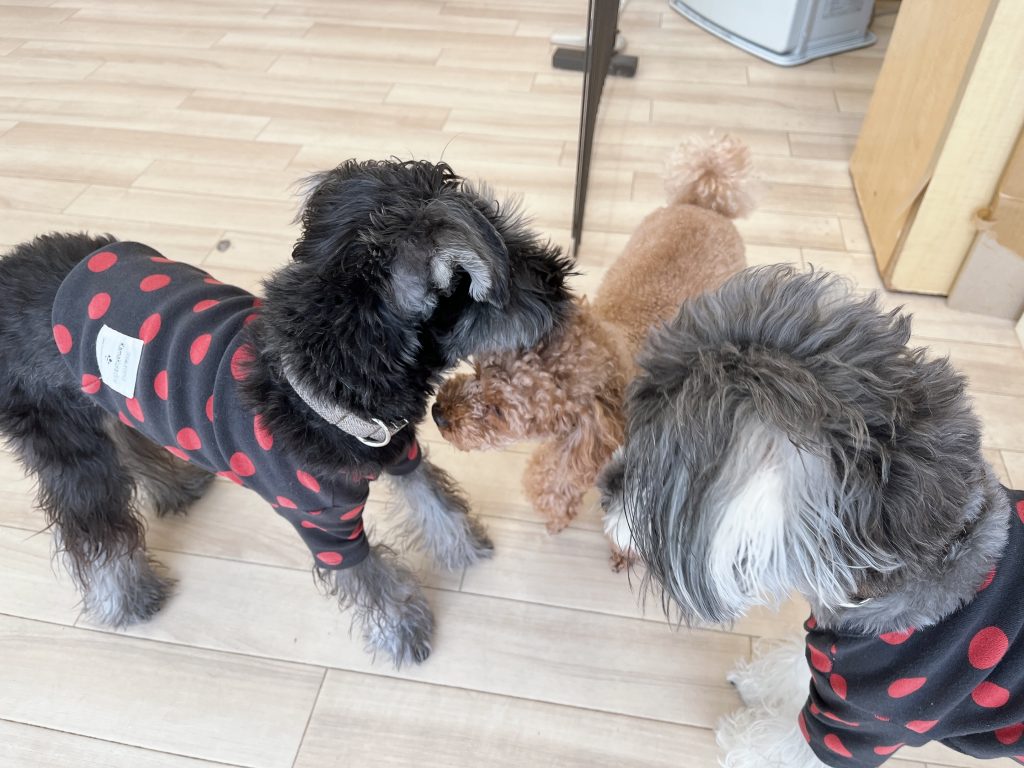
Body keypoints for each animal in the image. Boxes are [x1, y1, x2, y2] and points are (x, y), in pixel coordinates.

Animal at [0, 159, 574, 667]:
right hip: (68, 444)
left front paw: (465, 547)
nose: (562, 275)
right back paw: (128, 599)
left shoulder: (399, 451)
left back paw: (178, 488)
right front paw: (404, 630)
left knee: (129, 439)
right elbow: (370, 578)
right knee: (96, 530)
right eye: (513, 268)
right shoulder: (326, 525)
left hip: (105, 398)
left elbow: (435, 499)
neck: (323, 375)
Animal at [599, 265, 1024, 767]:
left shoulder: (858, 725)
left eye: (658, 468)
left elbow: (784, 744)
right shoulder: (831, 672)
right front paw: (757, 682)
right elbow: (794, 668)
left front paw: (738, 740)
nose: (602, 490)